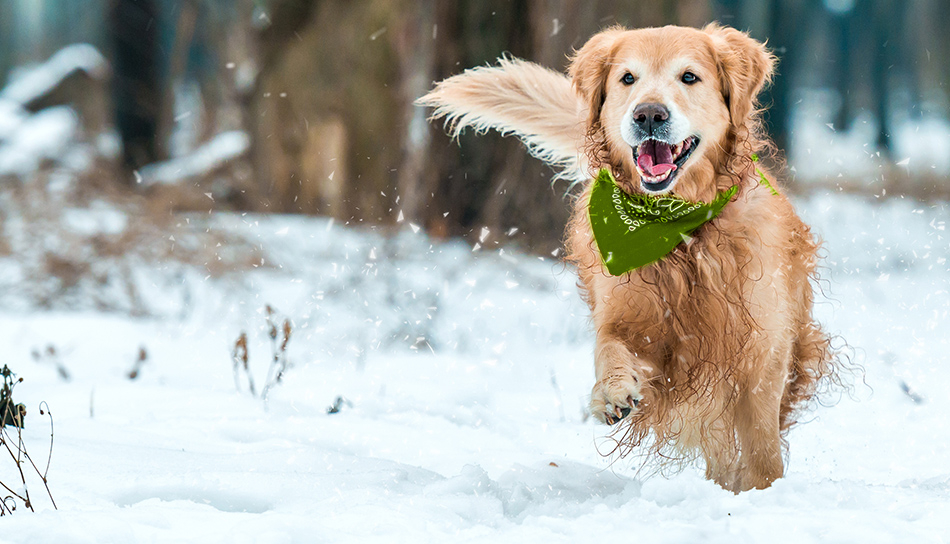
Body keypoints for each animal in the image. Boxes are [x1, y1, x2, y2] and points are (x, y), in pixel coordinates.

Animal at [420, 24, 836, 492]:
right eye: (627, 78)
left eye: (689, 77)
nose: (649, 115)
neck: (680, 232)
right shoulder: (629, 315)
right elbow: (610, 346)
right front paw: (612, 392)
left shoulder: (761, 347)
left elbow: (761, 442)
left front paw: (764, 489)